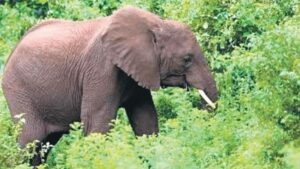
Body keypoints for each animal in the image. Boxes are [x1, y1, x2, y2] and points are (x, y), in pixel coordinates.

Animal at [1, 6, 218, 165]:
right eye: (187, 59)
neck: (156, 23)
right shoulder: (101, 68)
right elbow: (97, 123)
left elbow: (146, 119)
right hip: (19, 90)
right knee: (29, 140)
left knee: (45, 144)